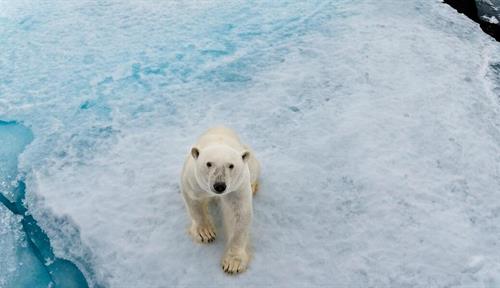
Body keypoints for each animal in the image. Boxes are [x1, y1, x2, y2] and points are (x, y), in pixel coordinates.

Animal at [181, 126, 260, 274]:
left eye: (231, 165)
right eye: (208, 164)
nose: (219, 186)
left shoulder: (238, 186)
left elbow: (238, 213)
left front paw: (233, 263)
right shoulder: (194, 179)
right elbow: (194, 201)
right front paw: (205, 233)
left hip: (250, 161)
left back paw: (253, 187)